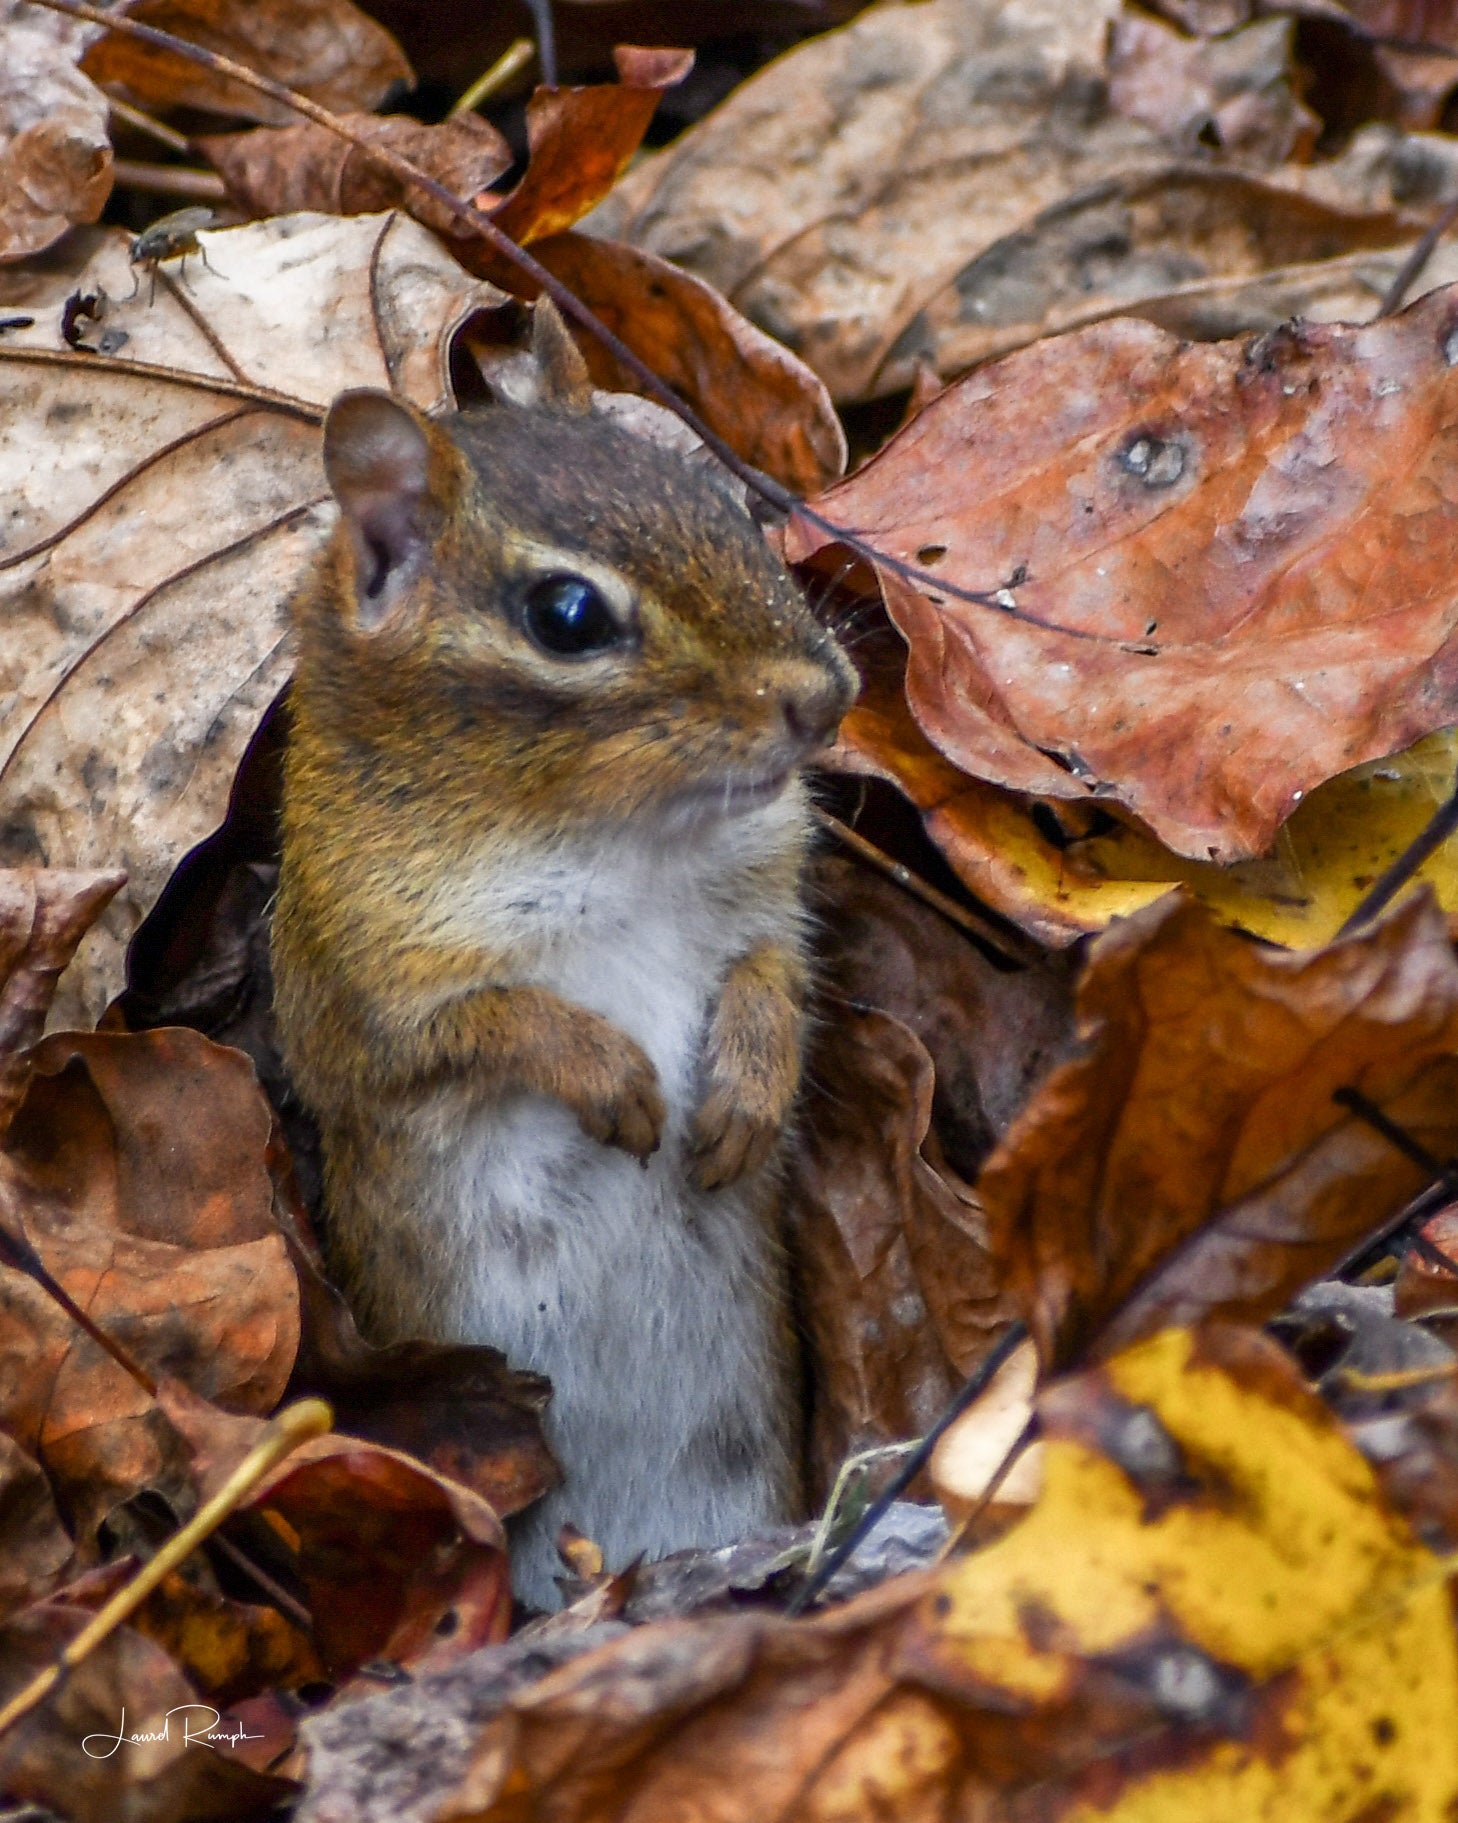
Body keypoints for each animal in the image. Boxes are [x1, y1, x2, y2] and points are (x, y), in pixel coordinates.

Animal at [271, 302, 857, 1608]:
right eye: (568, 617)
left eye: (720, 503)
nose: (827, 697)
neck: (615, 838)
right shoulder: (373, 988)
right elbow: (491, 1023)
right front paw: (612, 1074)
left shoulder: (763, 902)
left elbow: (771, 979)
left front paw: (747, 1094)